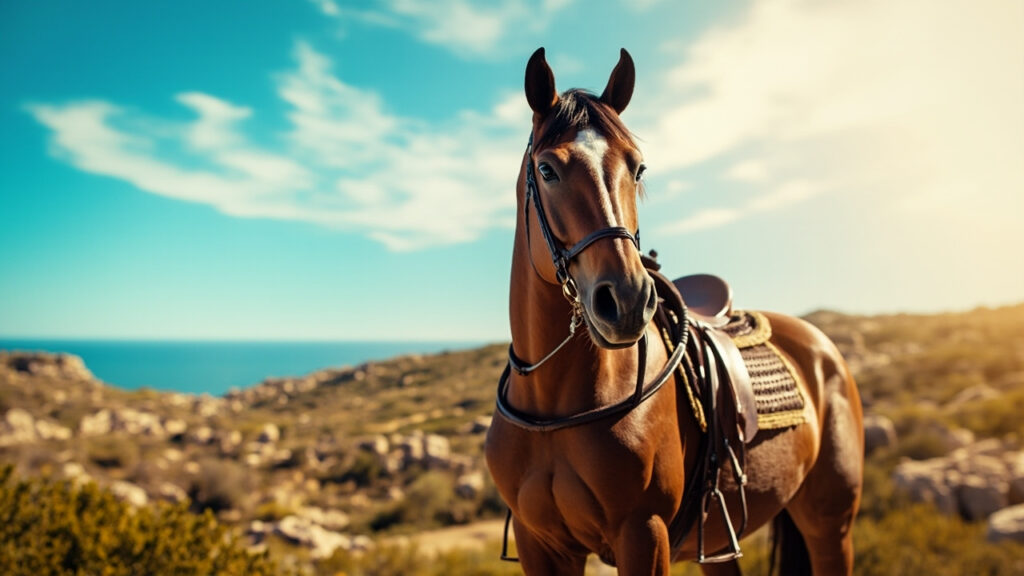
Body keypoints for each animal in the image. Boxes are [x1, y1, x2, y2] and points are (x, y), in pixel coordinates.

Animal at [484, 47, 864, 576]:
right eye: (546, 170)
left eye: (638, 168)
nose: (625, 300)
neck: (554, 407)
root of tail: (821, 347)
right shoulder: (539, 542)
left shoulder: (644, 535)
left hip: (831, 527)